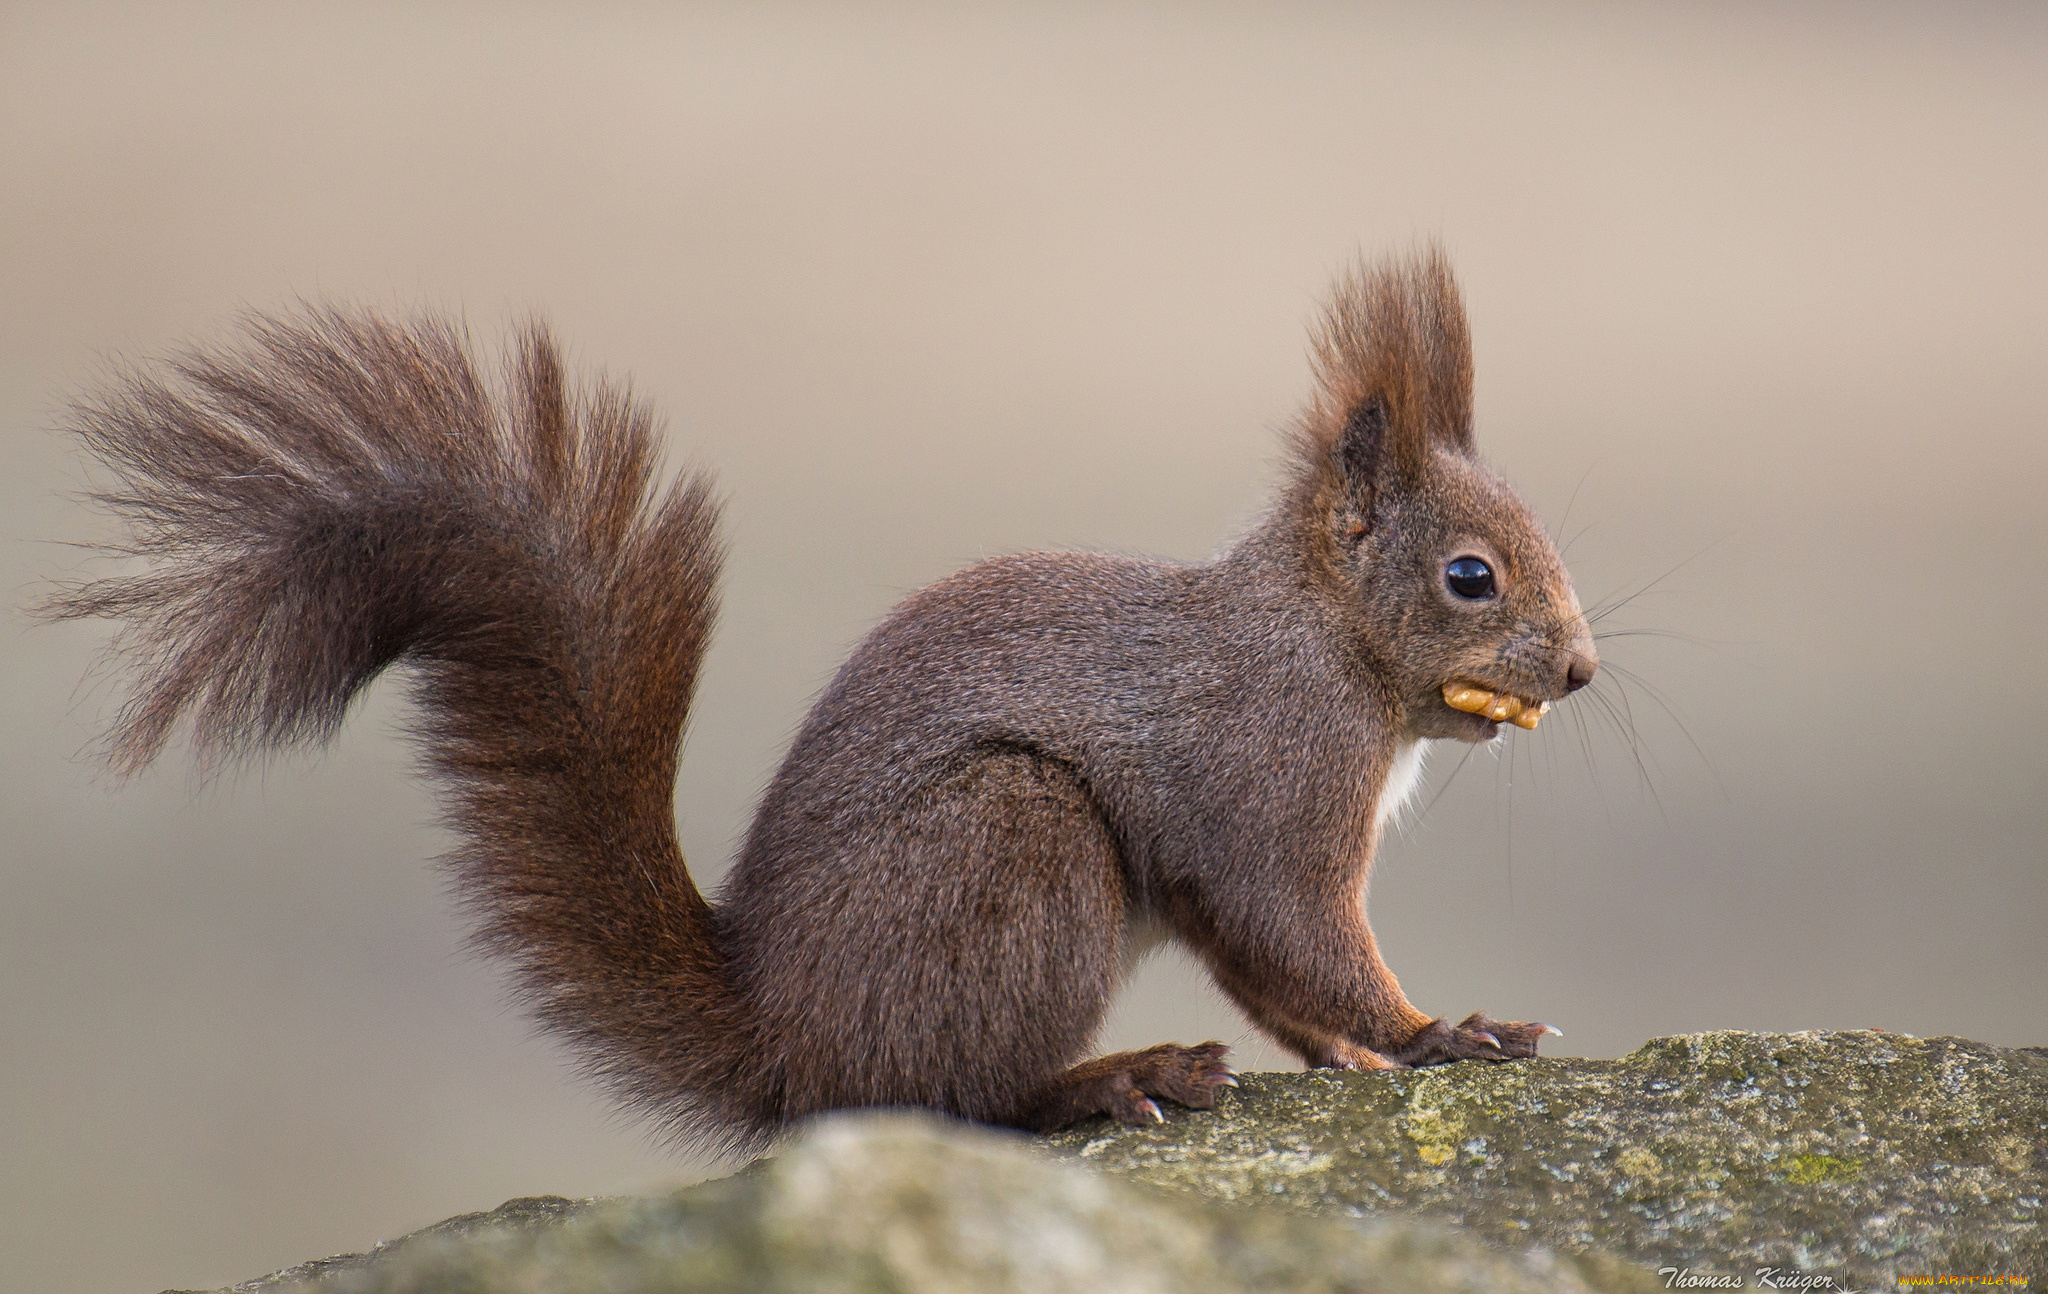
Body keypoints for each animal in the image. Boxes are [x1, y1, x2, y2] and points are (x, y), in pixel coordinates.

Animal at [39, 244, 1589, 1154]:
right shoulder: (1267, 780)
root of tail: (784, 1036)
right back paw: (1105, 1076)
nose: (1577, 670)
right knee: (942, 1095)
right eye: (1469, 575)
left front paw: (1365, 1050)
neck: (1329, 642)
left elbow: (1274, 976)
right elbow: (1297, 936)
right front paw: (1437, 1032)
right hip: (1012, 844)